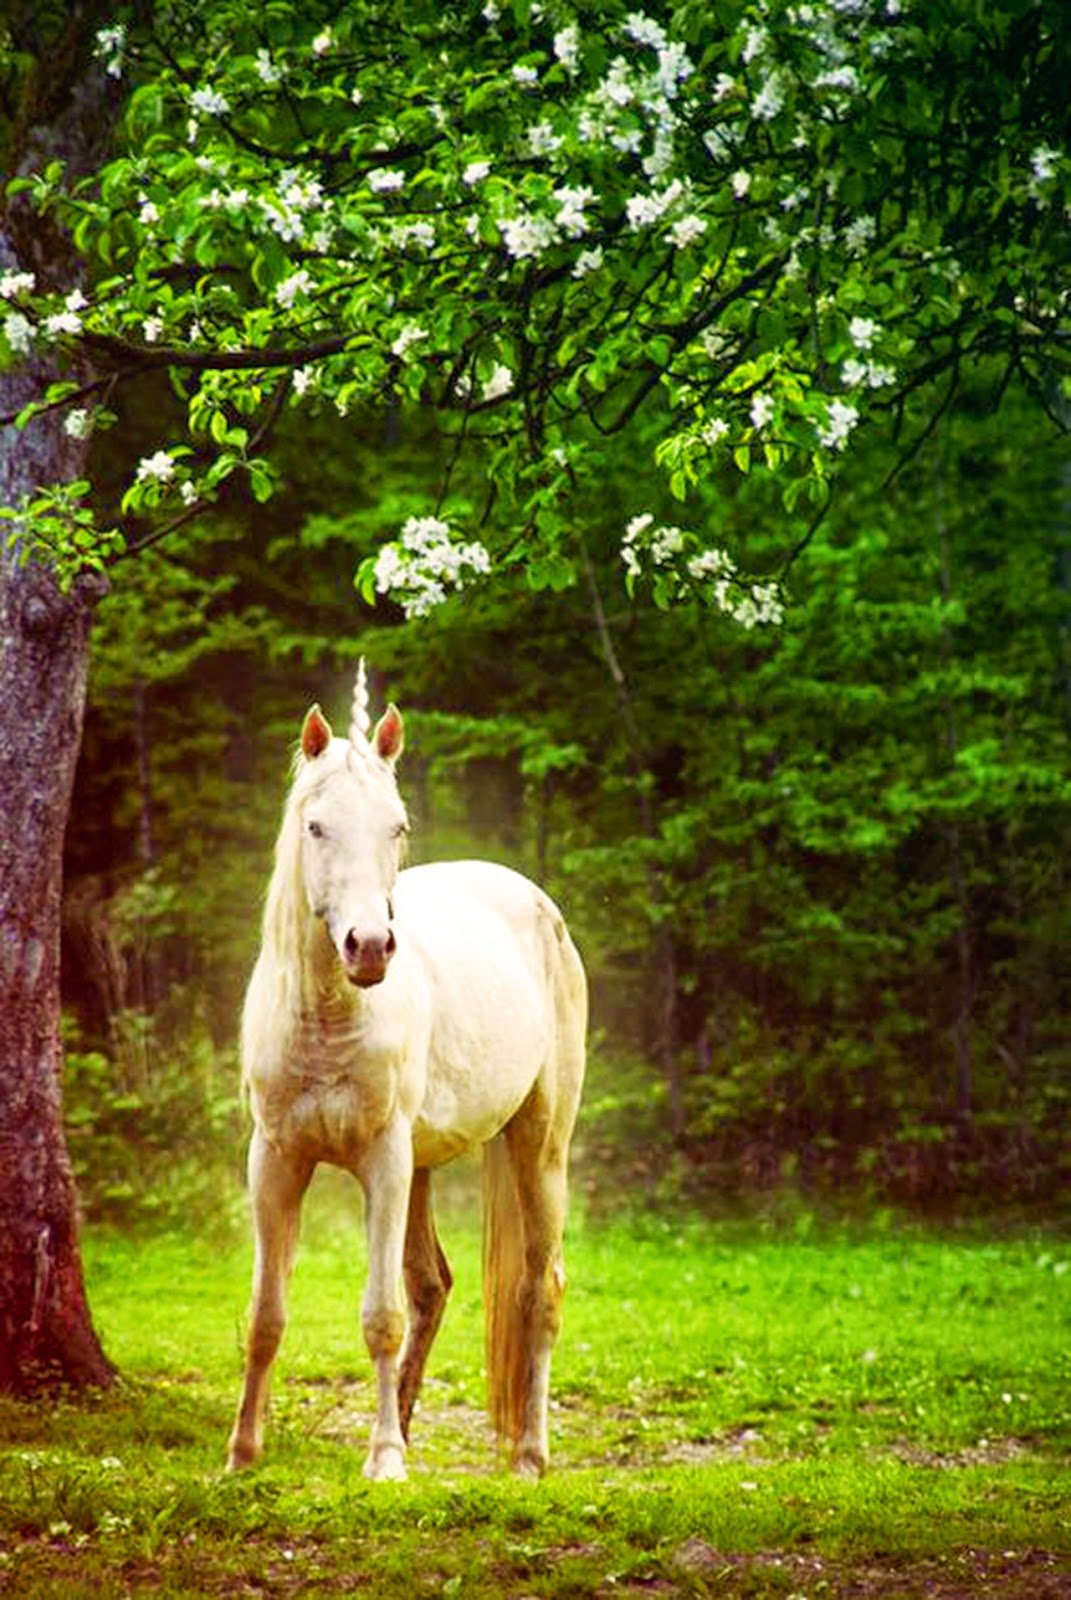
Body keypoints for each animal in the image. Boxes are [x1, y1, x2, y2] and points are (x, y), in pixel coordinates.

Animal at [224, 659, 585, 1472]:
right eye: (316, 826)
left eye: (397, 827)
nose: (368, 946)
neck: (327, 1019)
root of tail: (534, 901)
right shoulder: (274, 1160)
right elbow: (266, 1313)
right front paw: (242, 1454)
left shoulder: (382, 1162)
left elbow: (380, 1314)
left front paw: (384, 1458)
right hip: (423, 1167)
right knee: (432, 1285)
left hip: (538, 1147)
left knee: (538, 1288)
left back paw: (529, 1455)